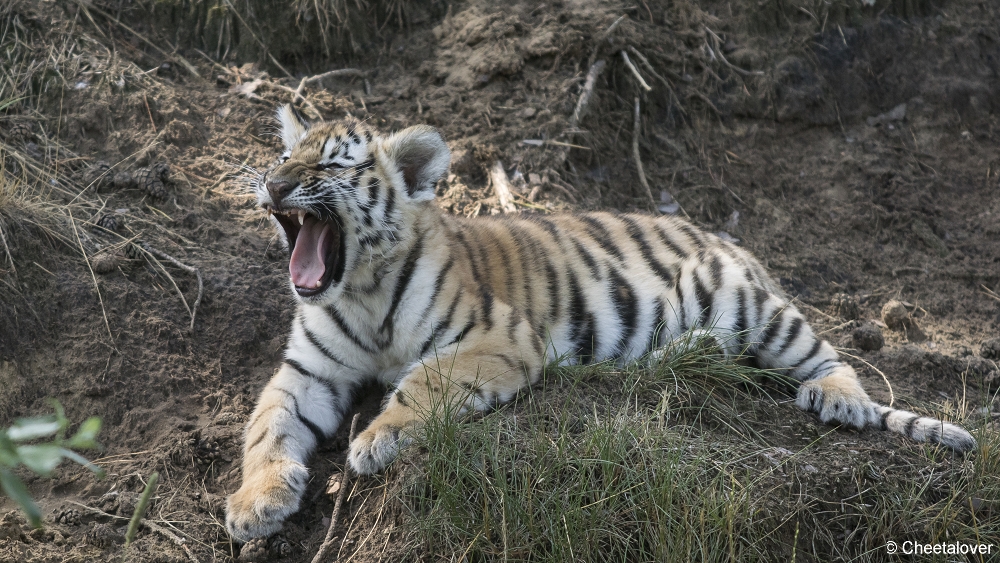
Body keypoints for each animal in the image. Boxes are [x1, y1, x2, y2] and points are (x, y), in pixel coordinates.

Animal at [225, 104, 976, 540]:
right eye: (282, 157)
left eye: (329, 163)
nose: (272, 185)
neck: (359, 288)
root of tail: (723, 235)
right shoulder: (305, 371)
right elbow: (265, 428)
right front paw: (254, 503)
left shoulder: (496, 338)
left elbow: (424, 380)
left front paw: (378, 438)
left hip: (749, 304)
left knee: (828, 353)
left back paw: (839, 399)